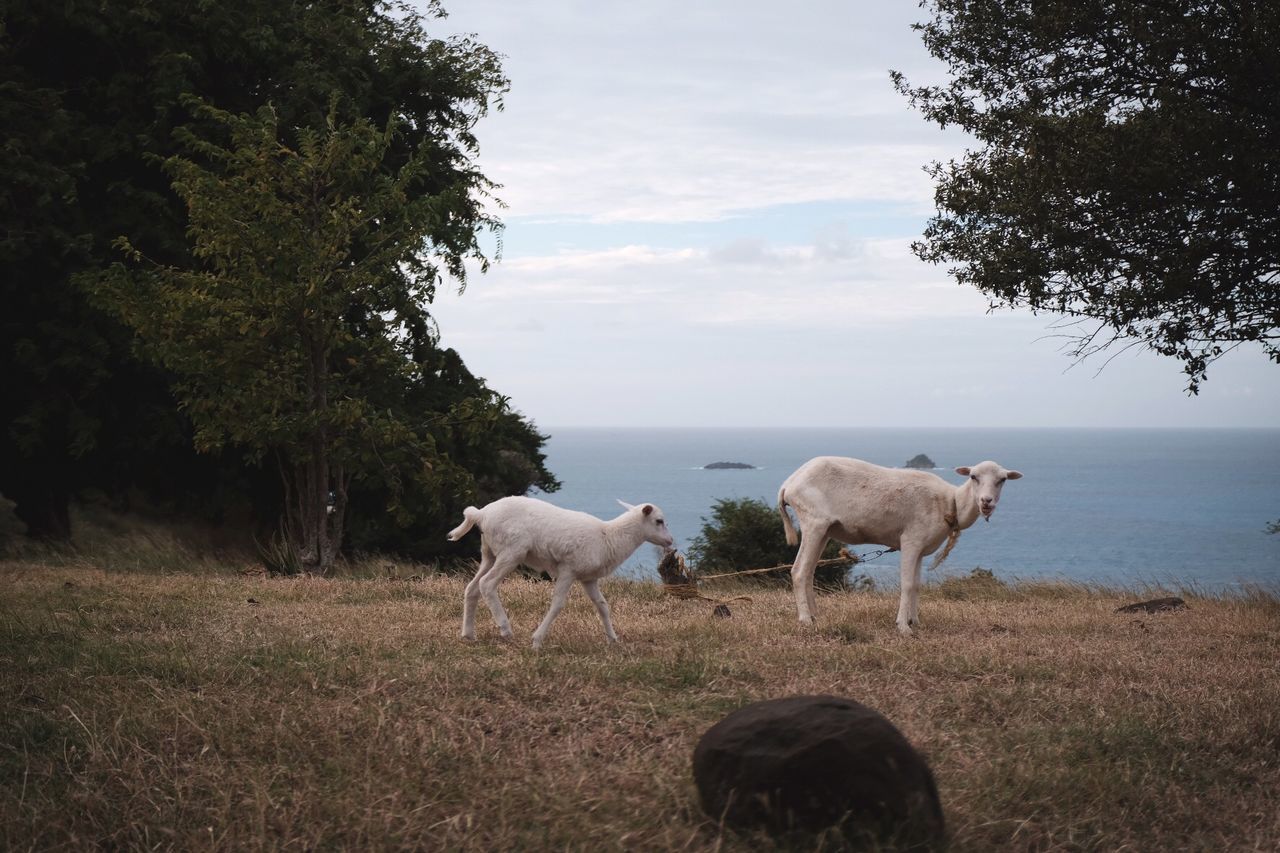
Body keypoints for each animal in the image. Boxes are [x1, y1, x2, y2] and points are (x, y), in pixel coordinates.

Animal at [448, 494, 675, 648]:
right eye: (659, 521)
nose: (670, 541)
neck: (609, 537)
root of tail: (481, 514)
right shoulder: (568, 570)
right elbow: (558, 604)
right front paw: (537, 640)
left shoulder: (588, 578)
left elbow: (602, 606)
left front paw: (613, 639)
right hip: (511, 551)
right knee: (487, 584)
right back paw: (505, 628)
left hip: (489, 553)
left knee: (472, 588)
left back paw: (468, 634)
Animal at [773, 458, 1024, 630]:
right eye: (973, 477)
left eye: (1002, 480)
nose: (986, 502)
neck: (951, 503)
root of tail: (788, 484)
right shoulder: (911, 540)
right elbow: (907, 584)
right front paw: (903, 627)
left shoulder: (921, 548)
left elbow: (917, 585)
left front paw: (916, 621)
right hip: (813, 521)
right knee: (799, 570)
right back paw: (805, 619)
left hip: (824, 530)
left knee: (809, 572)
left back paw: (816, 615)